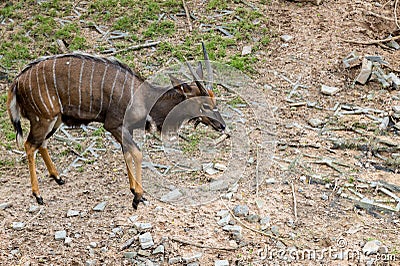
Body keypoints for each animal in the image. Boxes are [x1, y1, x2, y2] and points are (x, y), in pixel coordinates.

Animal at [7, 43, 225, 210]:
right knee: (29, 145)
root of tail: (17, 82)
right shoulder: (114, 125)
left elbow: (127, 153)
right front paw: (138, 196)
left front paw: (135, 191)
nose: (222, 125)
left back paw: (58, 177)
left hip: (55, 119)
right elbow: (136, 153)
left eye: (214, 100)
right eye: (205, 105)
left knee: (41, 143)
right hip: (43, 118)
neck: (144, 98)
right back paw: (38, 195)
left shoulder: (126, 129)